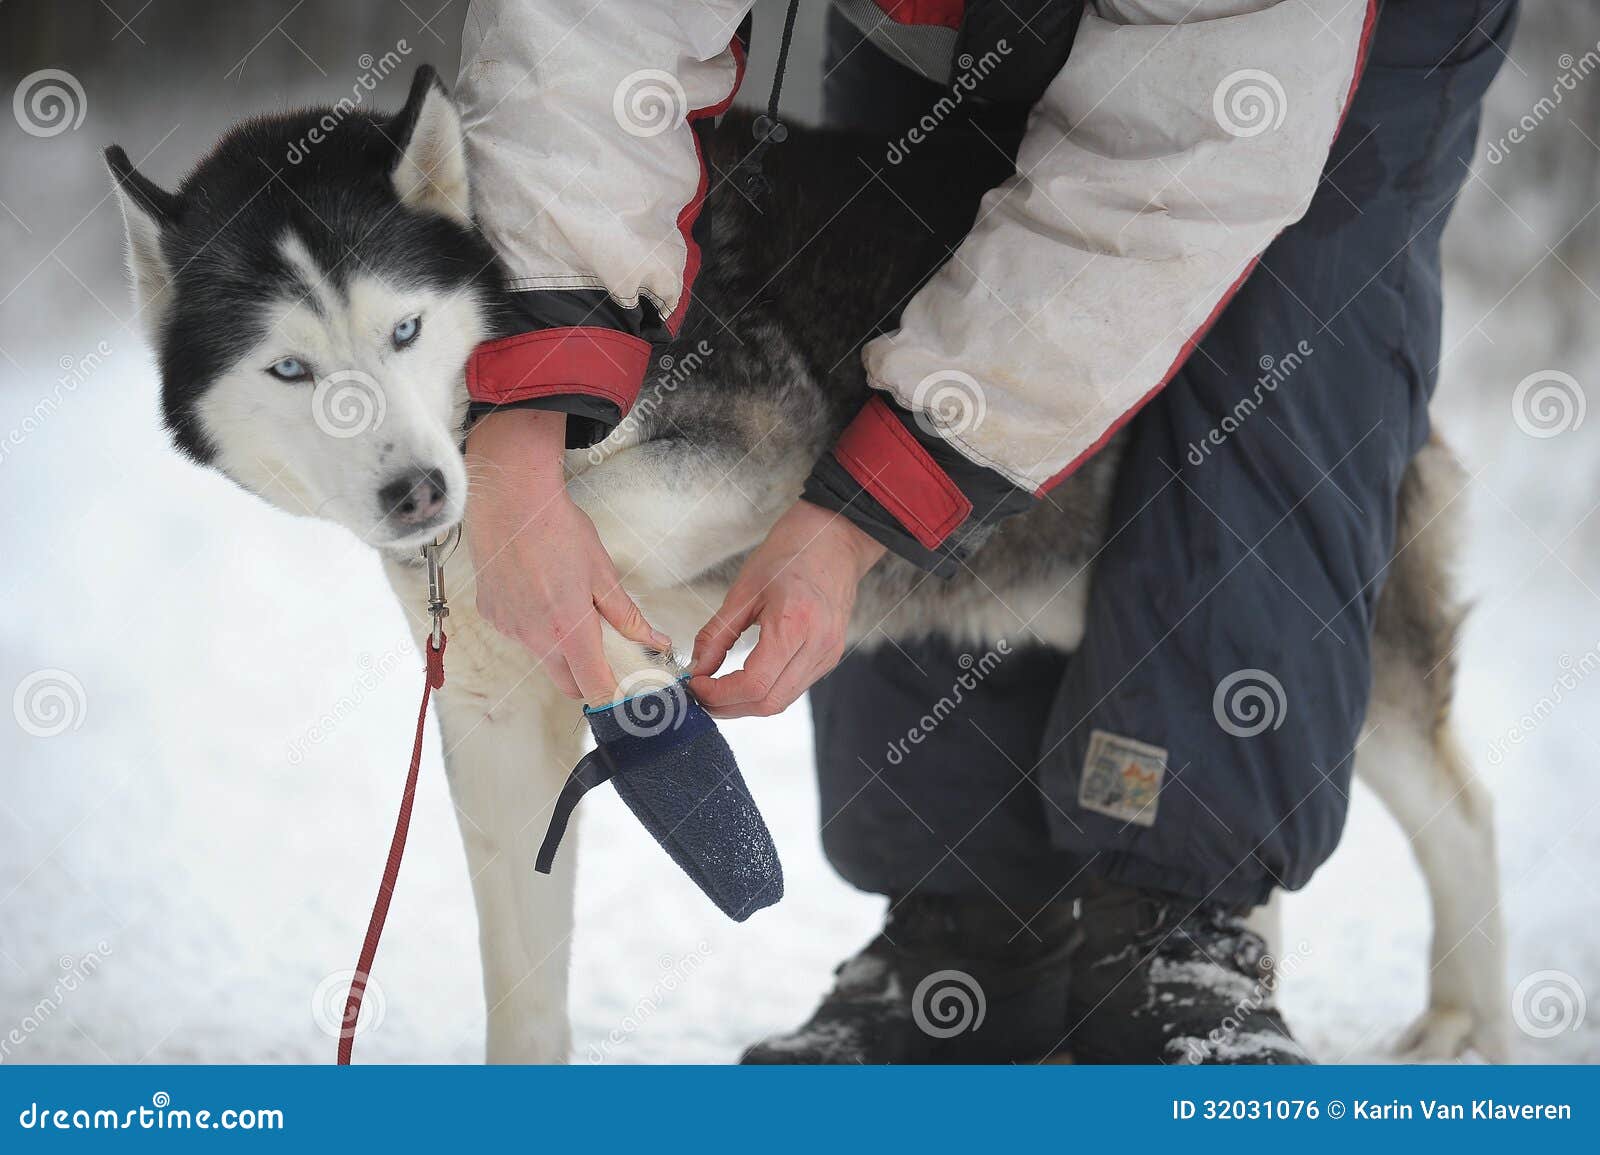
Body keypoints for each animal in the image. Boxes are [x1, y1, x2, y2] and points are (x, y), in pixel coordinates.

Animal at [106, 67, 1504, 1055]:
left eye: (402, 330)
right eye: (292, 368)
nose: (416, 492)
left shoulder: (754, 438)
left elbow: (596, 524)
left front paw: (616, 635)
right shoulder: (493, 727)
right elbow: (525, 978)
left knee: (1455, 809)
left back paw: (1463, 1020)